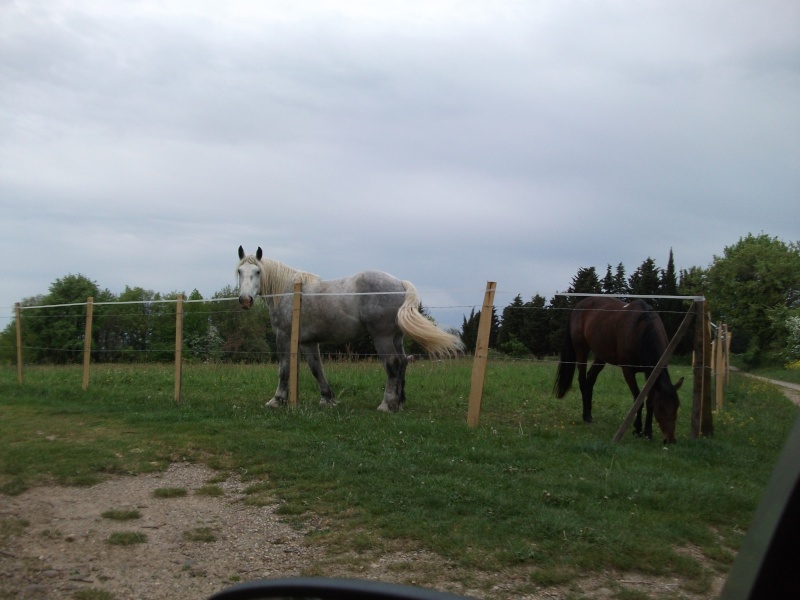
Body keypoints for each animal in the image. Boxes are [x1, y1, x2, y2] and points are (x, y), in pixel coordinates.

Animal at [236, 245, 462, 412]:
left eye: (257, 271)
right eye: (240, 271)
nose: (245, 300)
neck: (288, 291)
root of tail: (400, 283)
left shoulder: (283, 337)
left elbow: (283, 369)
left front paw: (277, 399)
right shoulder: (309, 342)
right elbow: (316, 368)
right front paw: (327, 399)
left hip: (382, 337)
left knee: (392, 363)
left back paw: (386, 405)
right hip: (396, 337)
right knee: (403, 362)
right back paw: (399, 403)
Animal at [556, 296, 680, 442]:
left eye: (677, 406)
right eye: (660, 408)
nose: (670, 440)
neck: (641, 328)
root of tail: (578, 306)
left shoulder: (650, 372)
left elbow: (649, 401)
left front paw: (648, 433)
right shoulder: (628, 371)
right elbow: (638, 399)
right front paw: (638, 429)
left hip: (600, 356)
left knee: (590, 380)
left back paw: (589, 415)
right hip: (581, 350)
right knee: (582, 381)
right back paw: (585, 416)